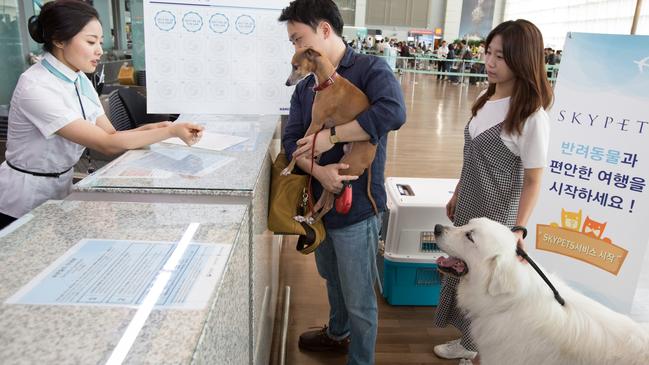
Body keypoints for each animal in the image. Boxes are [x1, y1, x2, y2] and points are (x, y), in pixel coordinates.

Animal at [282, 46, 378, 222]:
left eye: (295, 66)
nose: (287, 83)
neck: (328, 83)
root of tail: (370, 161)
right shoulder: (322, 126)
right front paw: (312, 160)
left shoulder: (315, 123)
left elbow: (298, 148)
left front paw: (288, 169)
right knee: (322, 201)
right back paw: (305, 218)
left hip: (342, 171)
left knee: (329, 204)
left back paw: (312, 219)